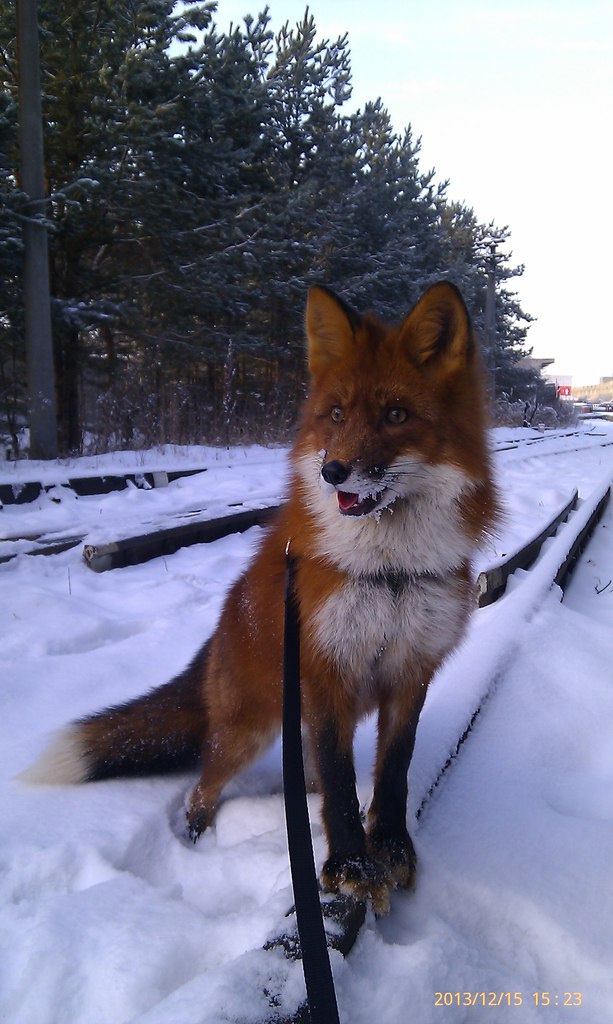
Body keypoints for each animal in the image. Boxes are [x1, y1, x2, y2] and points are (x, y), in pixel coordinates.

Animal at [24, 280, 501, 913]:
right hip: (248, 731)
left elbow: (392, 774)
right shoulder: (325, 670)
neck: (388, 572)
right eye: (337, 414)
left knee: (310, 778)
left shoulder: (410, 669)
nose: (333, 472)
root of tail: (213, 640)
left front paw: (391, 849)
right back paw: (198, 839)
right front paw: (350, 867)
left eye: (397, 414)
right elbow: (342, 789)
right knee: (205, 785)